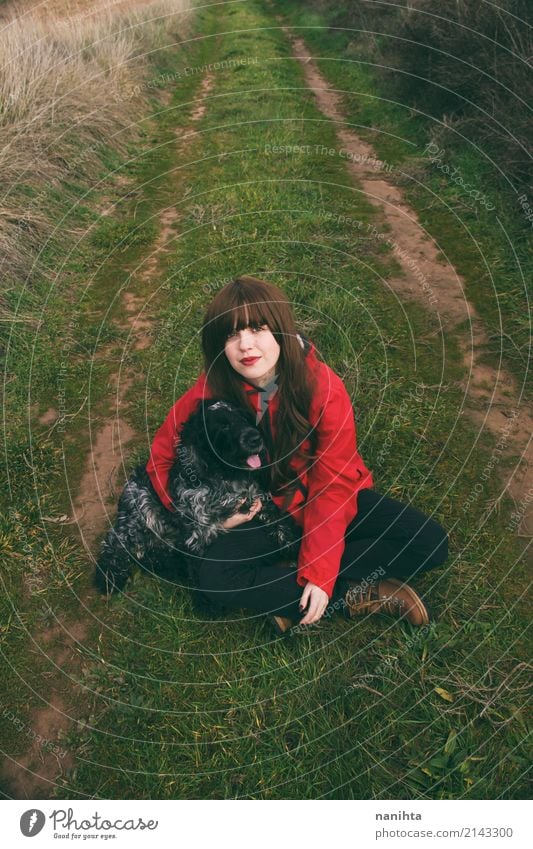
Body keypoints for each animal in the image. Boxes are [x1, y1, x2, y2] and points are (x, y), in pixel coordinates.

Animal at [91, 400, 300, 592]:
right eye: (223, 425)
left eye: (243, 417)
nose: (256, 438)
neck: (224, 476)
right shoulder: (197, 533)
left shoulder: (257, 499)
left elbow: (280, 522)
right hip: (139, 511)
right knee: (114, 543)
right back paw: (110, 576)